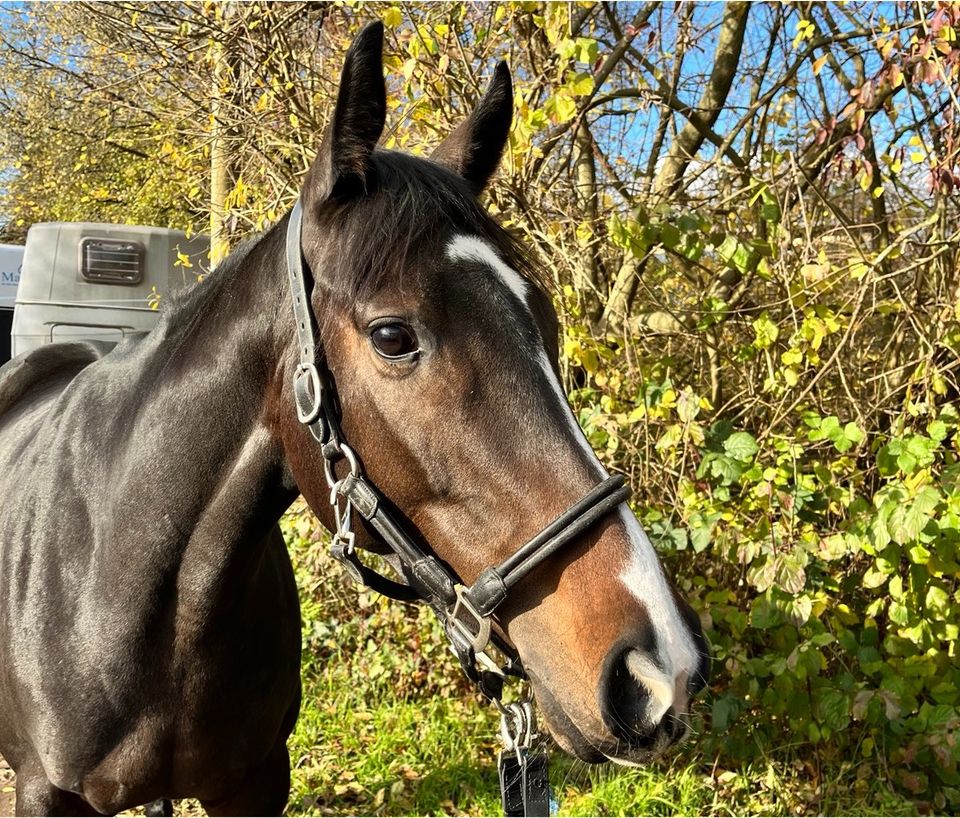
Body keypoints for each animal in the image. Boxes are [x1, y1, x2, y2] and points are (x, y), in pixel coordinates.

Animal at [0, 20, 704, 816]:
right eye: (392, 337)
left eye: (547, 324)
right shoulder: (44, 791)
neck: (117, 579)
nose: (661, 669)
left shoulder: (254, 785)